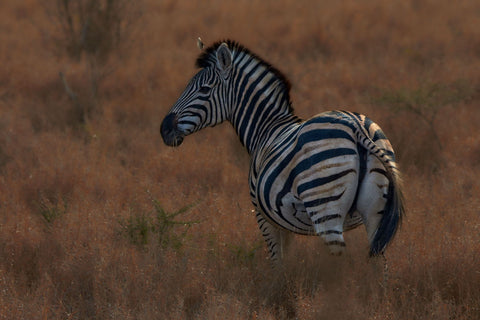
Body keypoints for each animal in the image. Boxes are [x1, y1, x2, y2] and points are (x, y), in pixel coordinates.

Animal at [159, 38, 404, 262]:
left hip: (325, 207)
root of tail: (356, 126)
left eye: (204, 89)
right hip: (376, 212)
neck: (266, 127)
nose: (164, 129)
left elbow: (278, 263)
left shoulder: (264, 216)